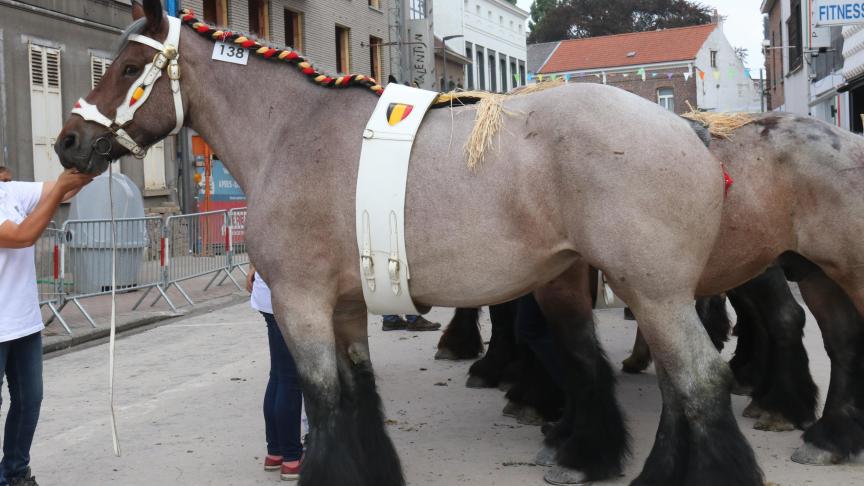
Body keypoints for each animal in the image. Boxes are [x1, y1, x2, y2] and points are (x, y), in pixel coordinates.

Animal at [52, 1, 864, 484]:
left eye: (130, 67)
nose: (67, 143)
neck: (296, 135)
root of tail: (686, 131)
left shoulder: (301, 304)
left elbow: (324, 399)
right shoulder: (345, 306)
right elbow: (357, 393)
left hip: (665, 292)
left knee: (701, 380)